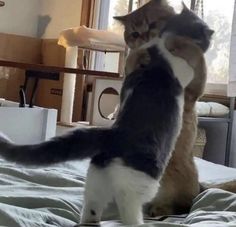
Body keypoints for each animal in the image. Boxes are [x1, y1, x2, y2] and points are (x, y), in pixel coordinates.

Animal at [0, 33, 194, 225]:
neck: (153, 68)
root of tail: (112, 135)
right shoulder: (177, 71)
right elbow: (186, 69)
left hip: (96, 178)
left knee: (92, 205)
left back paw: (90, 220)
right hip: (139, 182)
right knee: (129, 205)